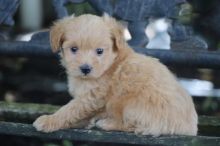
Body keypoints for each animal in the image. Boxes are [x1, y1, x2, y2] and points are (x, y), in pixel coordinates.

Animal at [33, 14, 199, 136]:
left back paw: (107, 123)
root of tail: (189, 129)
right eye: (74, 49)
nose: (85, 69)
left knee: (136, 126)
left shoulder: (91, 96)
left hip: (128, 103)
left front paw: (49, 120)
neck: (110, 64)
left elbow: (70, 110)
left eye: (99, 51)